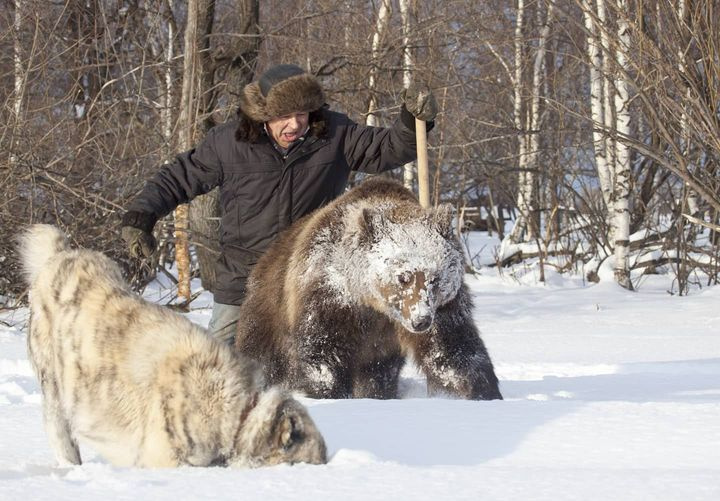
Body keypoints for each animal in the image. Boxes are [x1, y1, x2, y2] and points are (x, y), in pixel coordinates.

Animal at [235, 176, 500, 398]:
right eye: (403, 277)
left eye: (435, 278)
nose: (421, 321)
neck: (374, 305)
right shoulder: (330, 298)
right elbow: (324, 355)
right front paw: (330, 392)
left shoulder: (442, 309)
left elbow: (453, 351)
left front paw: (484, 391)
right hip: (269, 309)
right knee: (264, 357)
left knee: (378, 373)